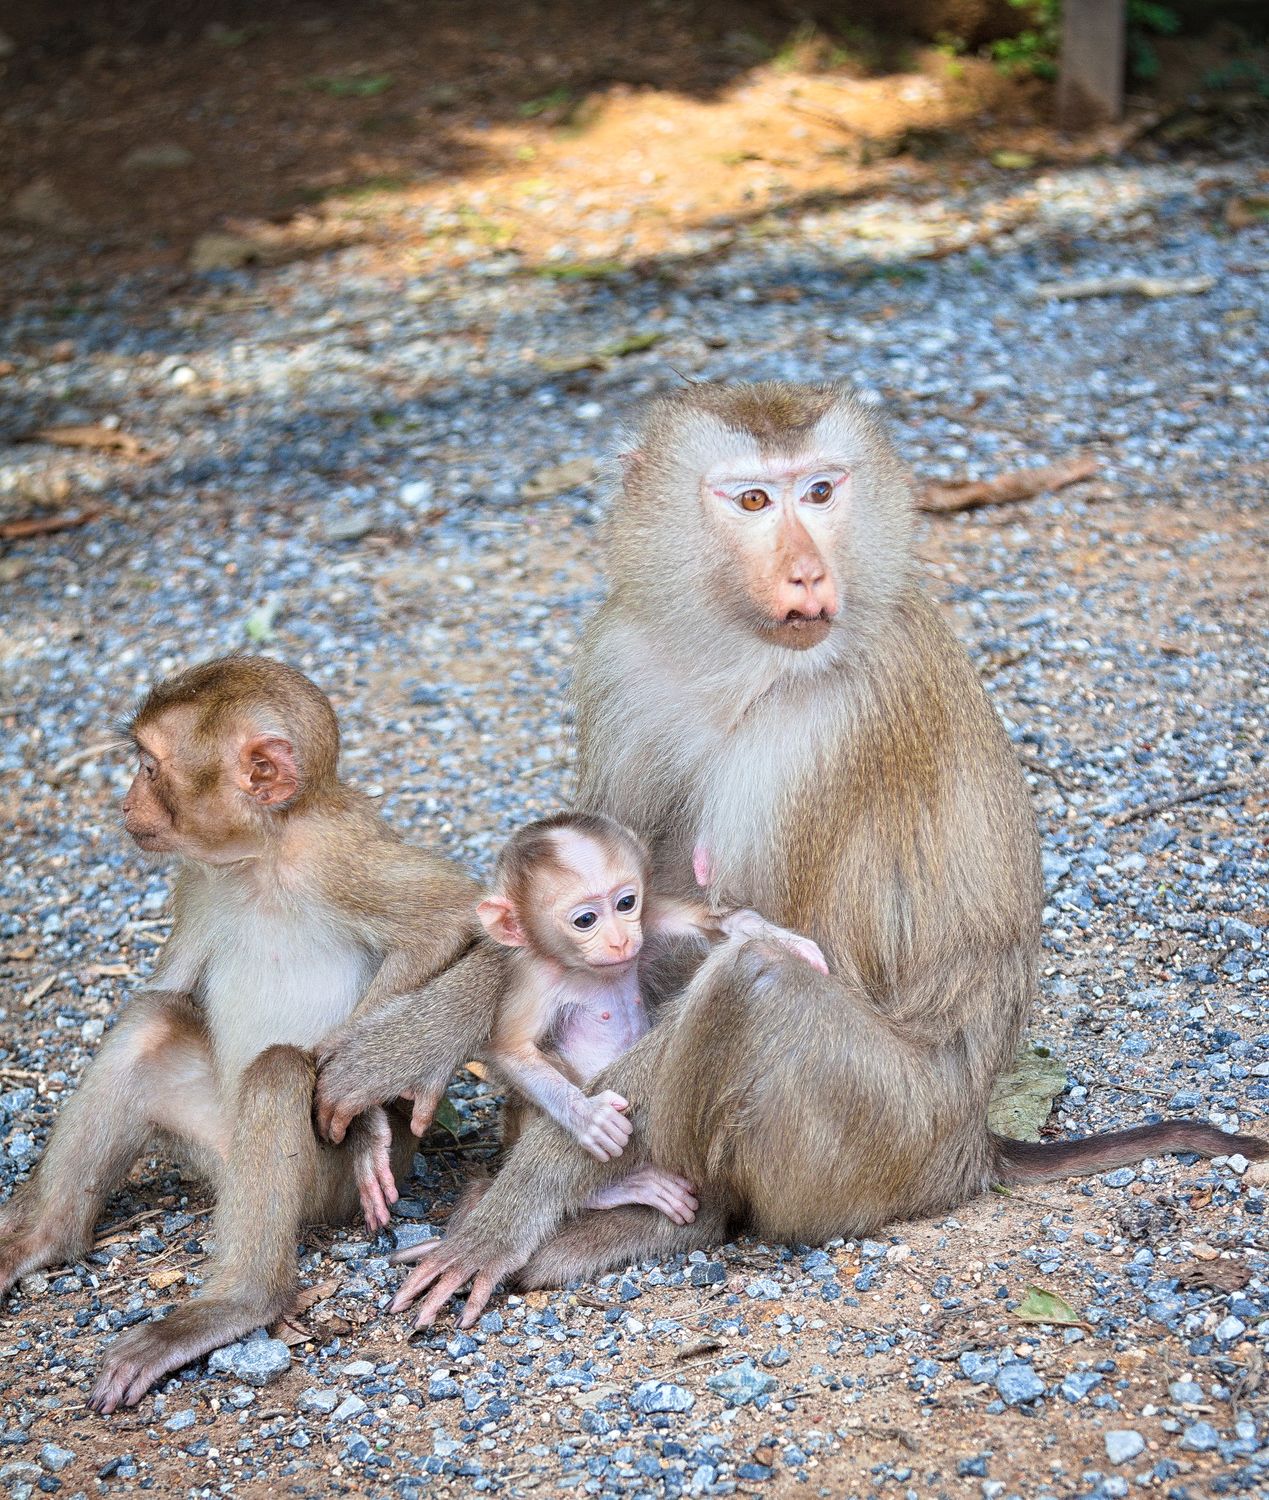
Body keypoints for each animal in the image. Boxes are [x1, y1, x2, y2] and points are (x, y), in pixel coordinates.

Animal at [0, 655, 482, 1411]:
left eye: (148, 767)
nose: (125, 805)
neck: (264, 852)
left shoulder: (340, 857)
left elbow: (453, 916)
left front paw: (370, 1121)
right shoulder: (198, 879)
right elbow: (166, 990)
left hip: (322, 1189)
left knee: (278, 1071)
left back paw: (239, 1303)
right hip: (207, 1138)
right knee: (150, 1026)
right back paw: (44, 1236)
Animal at [377, 380, 1267, 1329]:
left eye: (819, 493)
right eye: (754, 501)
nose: (806, 572)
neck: (741, 659)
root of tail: (972, 1147)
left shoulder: (841, 726)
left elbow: (761, 938)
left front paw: (515, 1209)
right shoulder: (622, 659)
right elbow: (601, 895)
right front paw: (414, 1039)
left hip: (885, 1144)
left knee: (756, 986)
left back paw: (668, 1217)